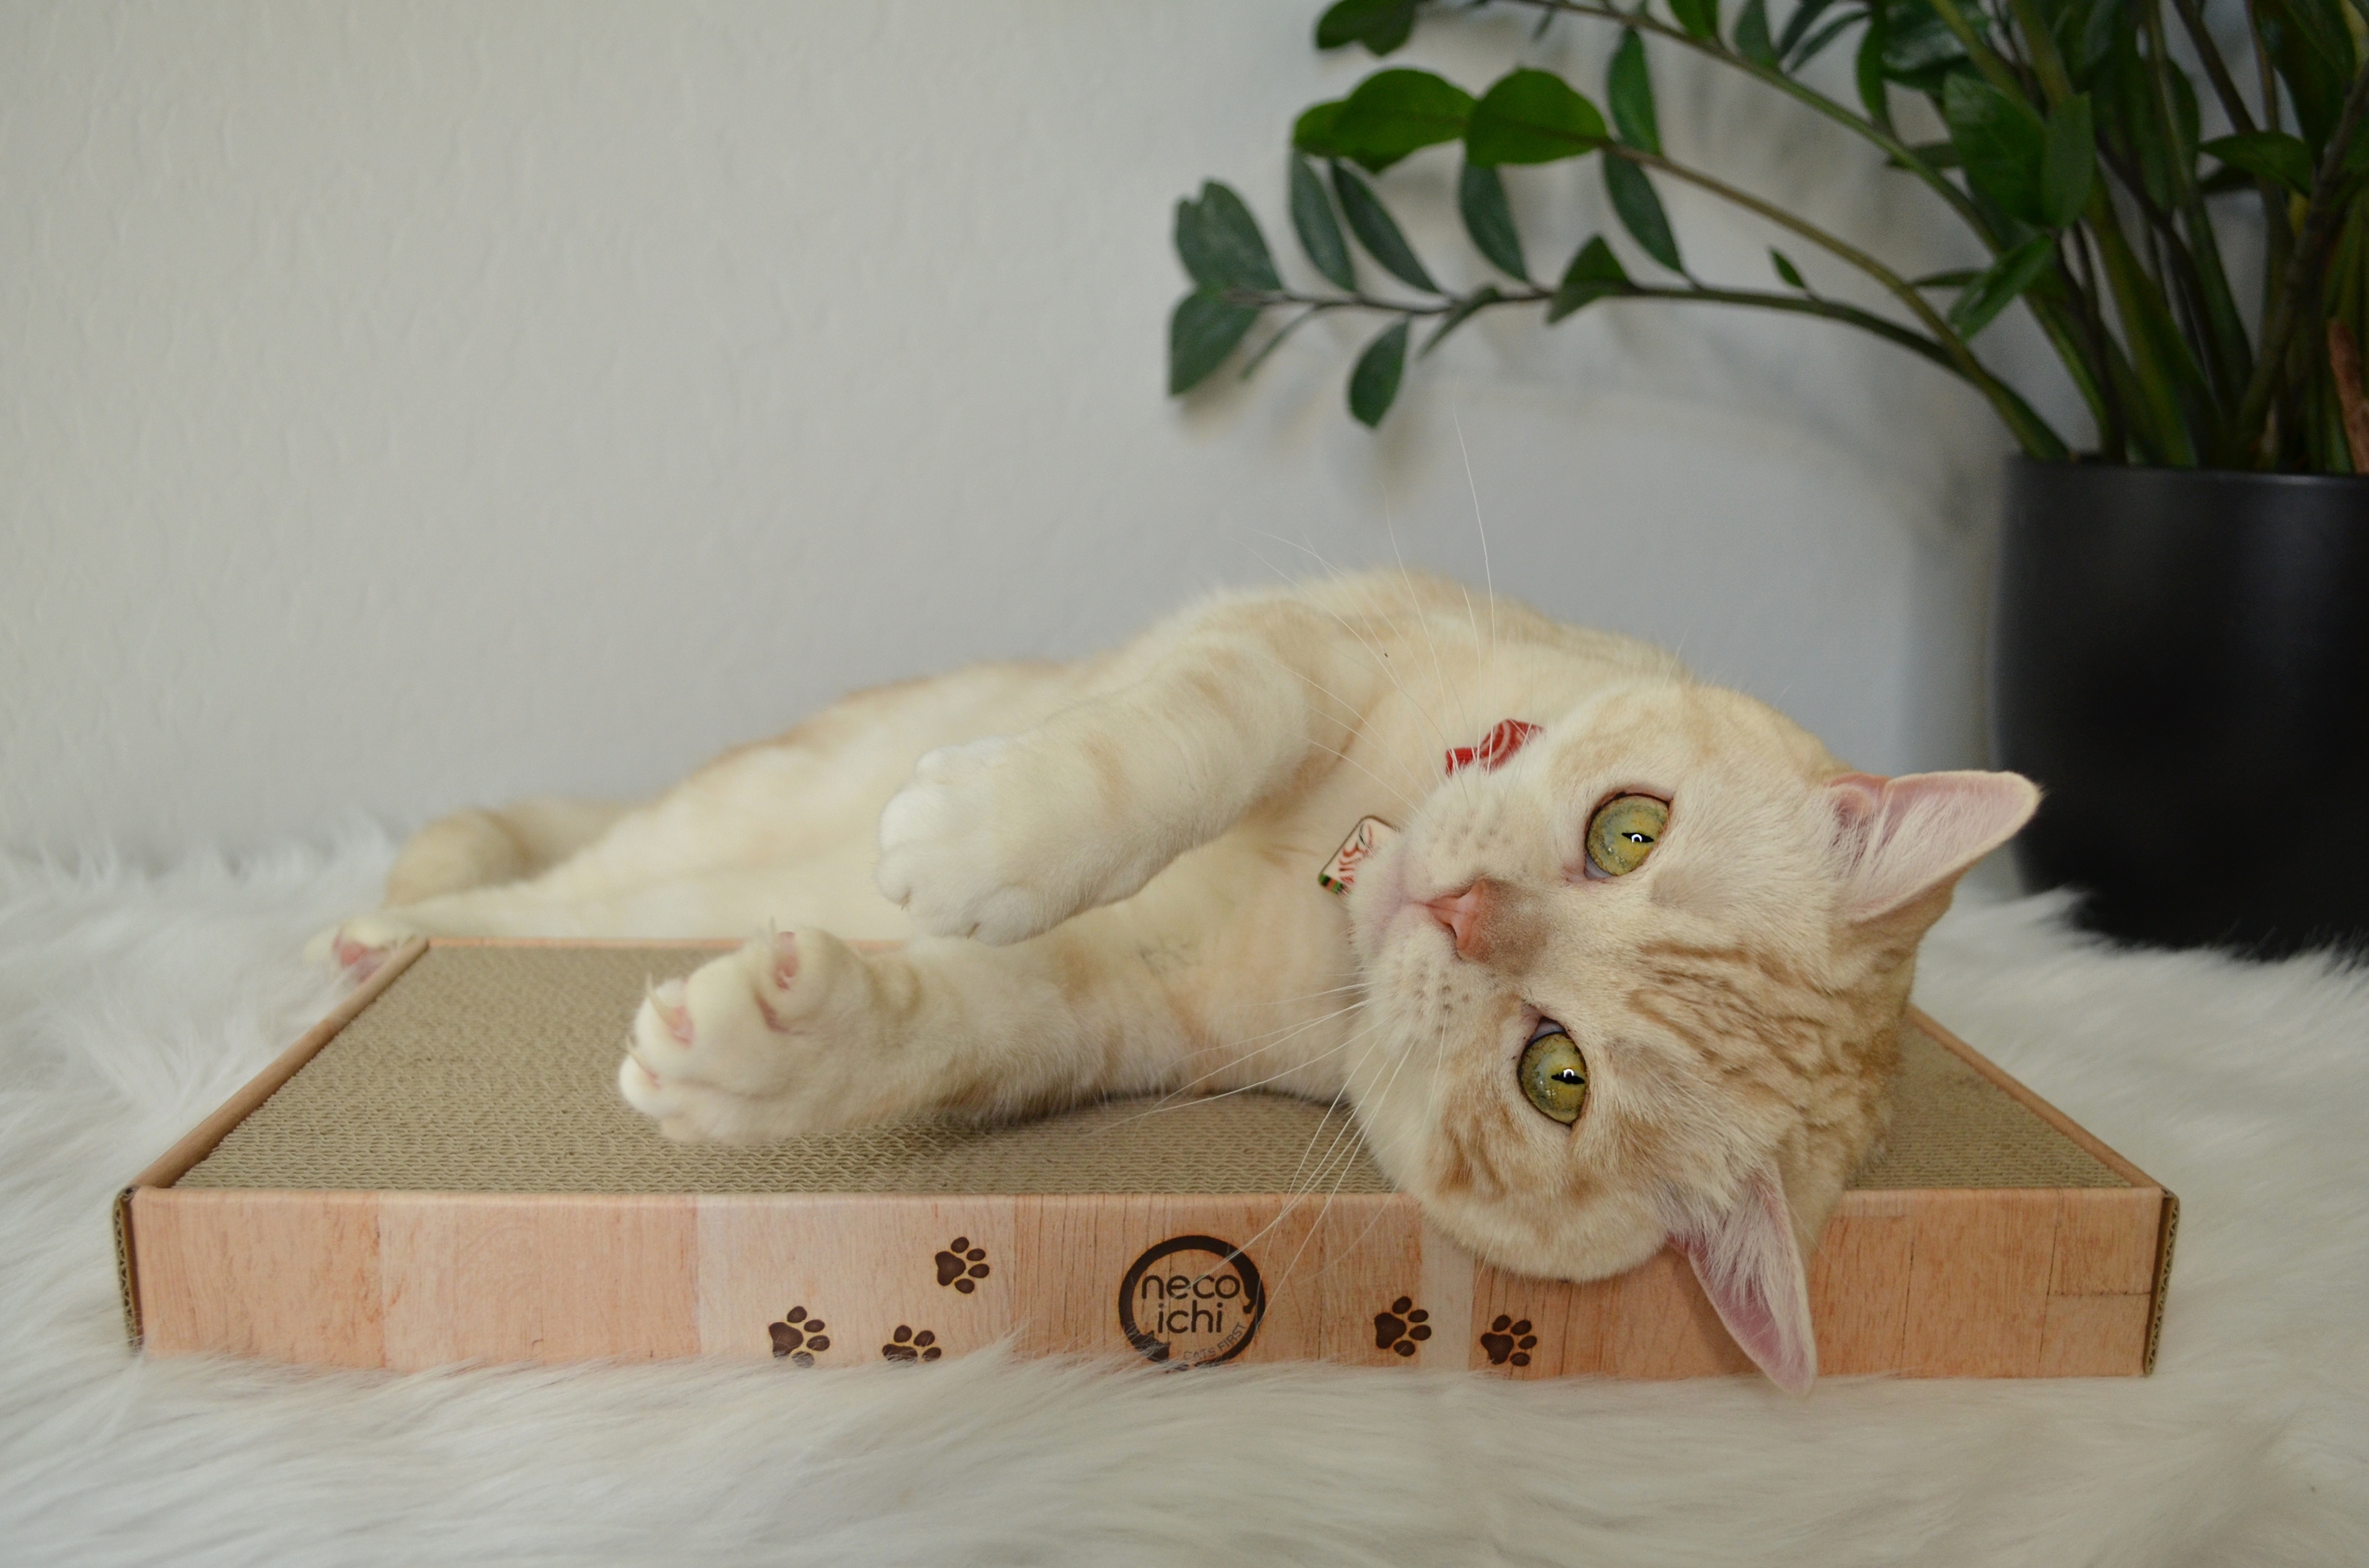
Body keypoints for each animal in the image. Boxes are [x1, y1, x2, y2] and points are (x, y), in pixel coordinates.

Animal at [325, 575, 2046, 1392]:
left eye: (1555, 1074)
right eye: (1631, 830)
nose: (1458, 906)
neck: (1334, 892)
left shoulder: (1107, 1008)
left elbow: (958, 1026)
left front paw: (767, 1053)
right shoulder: (1306, 645)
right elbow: (1170, 745)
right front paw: (990, 828)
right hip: (731, 818)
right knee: (539, 879)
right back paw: (371, 927)